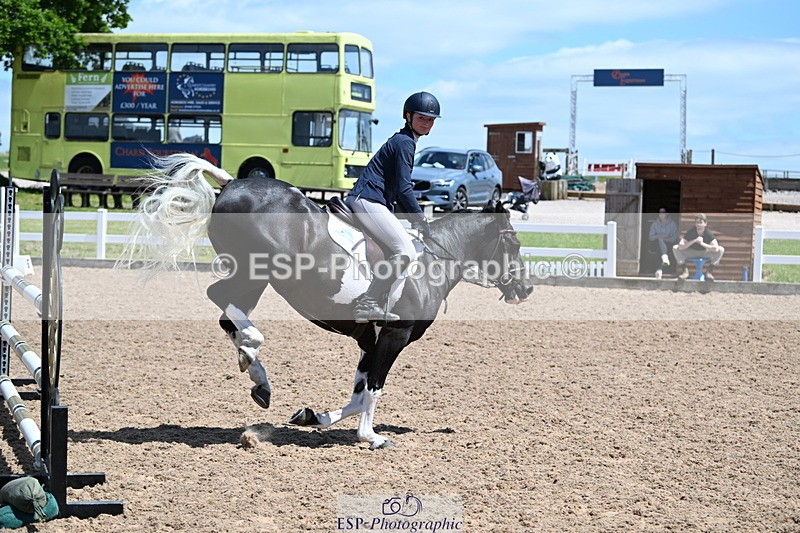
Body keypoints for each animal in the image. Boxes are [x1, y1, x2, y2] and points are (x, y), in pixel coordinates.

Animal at [123, 153, 533, 449]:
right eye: (513, 243)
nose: (526, 290)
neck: (433, 261)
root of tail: (233, 182)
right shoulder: (394, 336)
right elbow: (374, 389)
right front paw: (371, 438)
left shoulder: (369, 338)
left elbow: (358, 394)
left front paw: (312, 417)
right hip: (257, 270)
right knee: (221, 300)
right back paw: (253, 349)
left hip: (255, 280)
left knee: (227, 316)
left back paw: (257, 374)